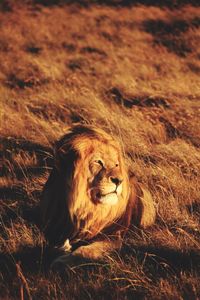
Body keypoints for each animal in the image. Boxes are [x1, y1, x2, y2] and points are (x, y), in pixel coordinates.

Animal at [40, 124, 156, 268]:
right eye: (98, 162)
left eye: (116, 164)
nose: (119, 180)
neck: (88, 208)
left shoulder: (116, 236)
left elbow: (88, 250)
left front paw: (63, 260)